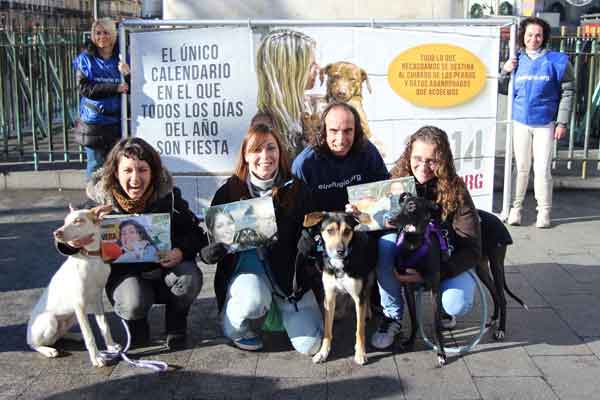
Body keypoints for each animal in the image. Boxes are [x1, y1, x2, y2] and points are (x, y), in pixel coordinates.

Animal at [27, 205, 120, 368]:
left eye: (78, 220)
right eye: (64, 221)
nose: (56, 233)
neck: (91, 258)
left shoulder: (97, 299)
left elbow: (104, 325)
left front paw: (111, 346)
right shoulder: (80, 304)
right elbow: (89, 335)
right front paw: (97, 358)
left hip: (71, 317)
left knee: (58, 336)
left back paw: (75, 336)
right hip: (50, 320)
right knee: (35, 344)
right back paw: (48, 350)